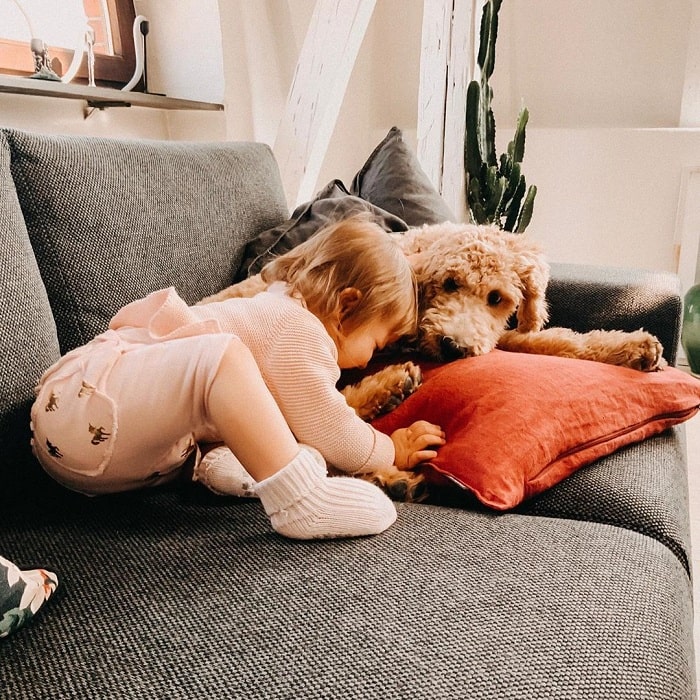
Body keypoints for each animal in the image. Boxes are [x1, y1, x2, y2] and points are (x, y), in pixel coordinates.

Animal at [200, 221, 664, 500]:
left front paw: (632, 348)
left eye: (497, 298)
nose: (453, 347)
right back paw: (392, 447)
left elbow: (554, 342)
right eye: (450, 283)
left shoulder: (496, 335)